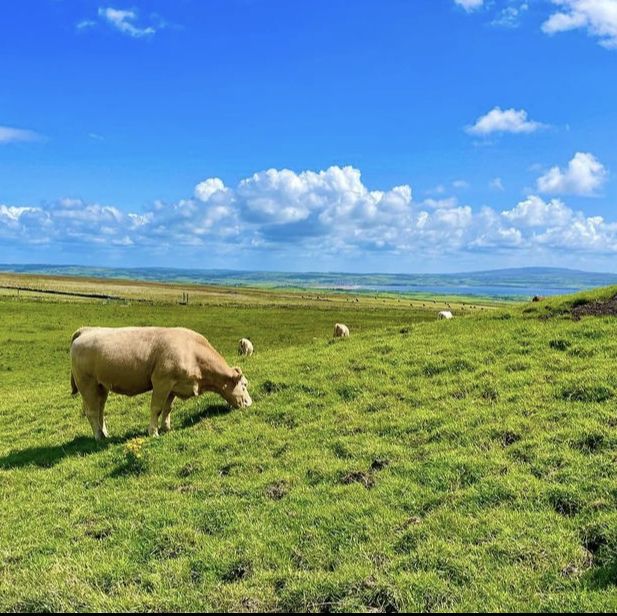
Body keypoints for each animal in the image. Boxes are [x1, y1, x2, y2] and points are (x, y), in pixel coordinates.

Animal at [71, 328, 253, 438]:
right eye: (244, 385)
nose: (249, 403)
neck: (192, 352)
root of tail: (86, 330)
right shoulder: (161, 382)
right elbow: (156, 408)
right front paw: (153, 432)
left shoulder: (173, 386)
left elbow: (167, 408)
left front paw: (166, 428)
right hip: (87, 385)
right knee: (92, 412)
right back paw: (98, 436)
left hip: (101, 387)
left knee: (100, 410)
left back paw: (105, 434)